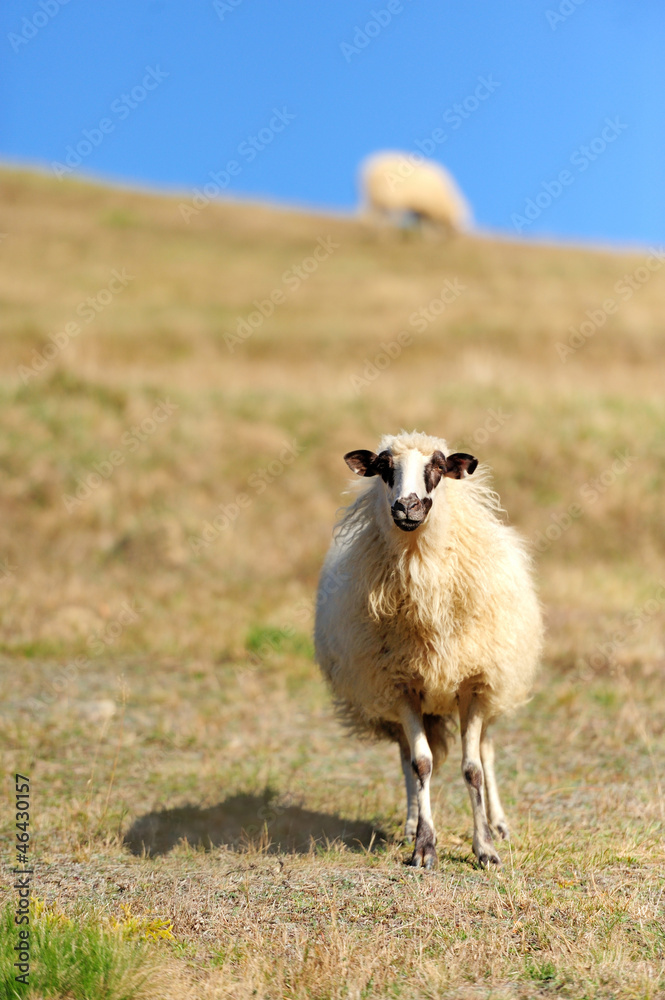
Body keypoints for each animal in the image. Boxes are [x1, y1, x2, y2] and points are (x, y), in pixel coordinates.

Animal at [314, 430, 544, 868]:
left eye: (437, 467)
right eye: (383, 468)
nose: (407, 506)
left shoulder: (475, 683)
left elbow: (473, 769)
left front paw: (485, 848)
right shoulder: (401, 686)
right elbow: (421, 764)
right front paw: (423, 846)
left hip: (495, 686)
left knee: (487, 752)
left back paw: (500, 824)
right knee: (408, 757)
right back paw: (408, 825)